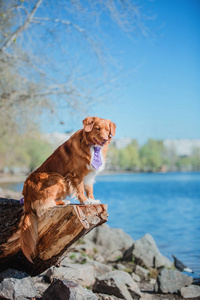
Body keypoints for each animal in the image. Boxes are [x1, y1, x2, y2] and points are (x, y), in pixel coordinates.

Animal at [19, 117, 115, 262]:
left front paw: (92, 200)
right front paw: (85, 201)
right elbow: (80, 189)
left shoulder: (89, 175)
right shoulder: (77, 174)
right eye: (97, 128)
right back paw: (63, 202)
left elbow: (89, 189)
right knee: (44, 204)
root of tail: (26, 194)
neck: (90, 146)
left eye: (107, 130)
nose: (104, 139)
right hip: (56, 177)